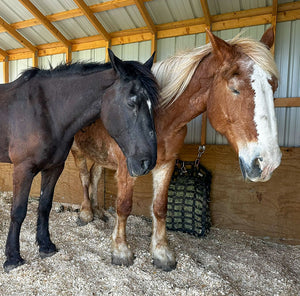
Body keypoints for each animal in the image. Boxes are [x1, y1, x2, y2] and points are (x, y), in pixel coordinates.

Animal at [0, 49, 159, 272]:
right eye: (132, 102)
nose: (148, 162)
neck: (46, 111)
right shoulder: (23, 169)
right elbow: (18, 211)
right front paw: (13, 257)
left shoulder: (54, 168)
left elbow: (44, 206)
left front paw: (46, 246)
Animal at [72, 29, 282, 270]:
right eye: (234, 89)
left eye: (274, 87)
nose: (268, 163)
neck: (158, 117)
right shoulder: (127, 166)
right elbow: (123, 206)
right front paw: (121, 250)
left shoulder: (166, 163)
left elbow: (160, 207)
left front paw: (161, 252)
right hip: (77, 150)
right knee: (84, 177)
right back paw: (86, 213)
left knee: (95, 175)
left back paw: (98, 211)